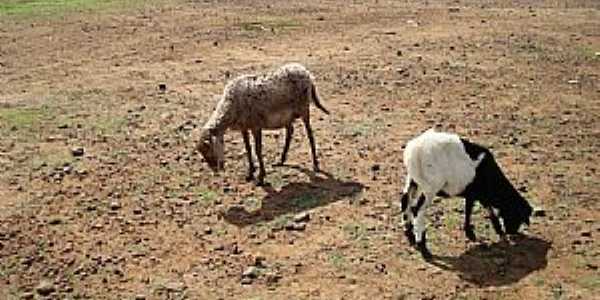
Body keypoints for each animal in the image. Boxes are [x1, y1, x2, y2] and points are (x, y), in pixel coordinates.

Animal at [400, 129, 532, 260]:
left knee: (405, 201)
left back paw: (409, 234)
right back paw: (423, 247)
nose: (512, 232)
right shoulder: (476, 192)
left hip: (412, 179)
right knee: (417, 210)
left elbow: (483, 209)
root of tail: (414, 150)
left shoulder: (476, 194)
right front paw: (474, 233)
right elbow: (473, 210)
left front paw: (495, 229)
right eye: (516, 214)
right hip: (430, 187)